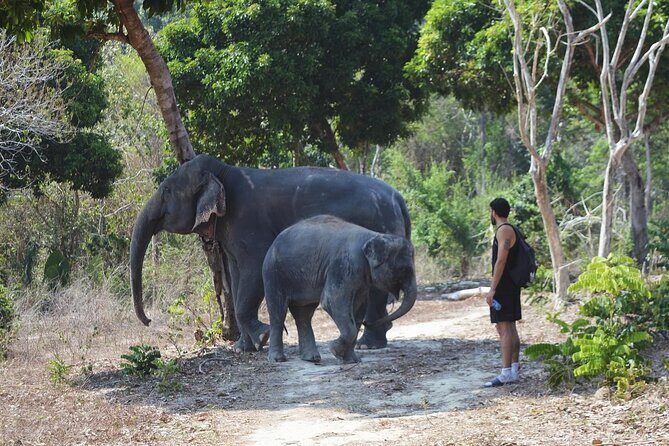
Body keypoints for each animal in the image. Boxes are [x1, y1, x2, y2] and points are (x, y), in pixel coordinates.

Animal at [130, 154, 411, 353]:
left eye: (166, 190)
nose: (148, 321)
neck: (224, 171)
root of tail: (398, 197)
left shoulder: (248, 222)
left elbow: (253, 269)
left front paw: (261, 338)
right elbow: (236, 275)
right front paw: (242, 348)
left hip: (378, 226)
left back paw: (367, 344)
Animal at [263, 215, 417, 364]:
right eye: (403, 270)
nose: (368, 323)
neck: (372, 235)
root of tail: (274, 243)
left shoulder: (361, 278)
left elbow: (358, 308)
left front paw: (351, 360)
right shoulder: (344, 265)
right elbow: (332, 301)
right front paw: (335, 350)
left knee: (304, 314)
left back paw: (312, 358)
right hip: (273, 273)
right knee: (278, 311)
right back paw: (278, 359)